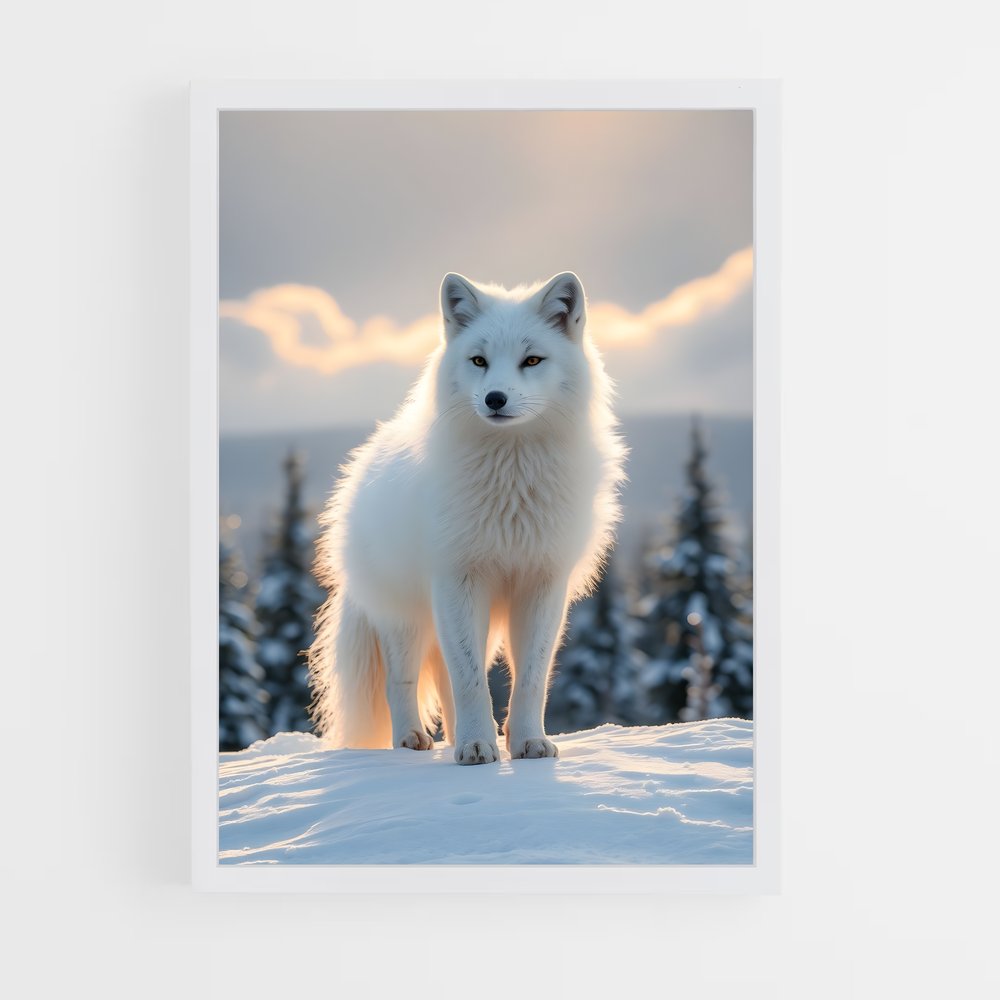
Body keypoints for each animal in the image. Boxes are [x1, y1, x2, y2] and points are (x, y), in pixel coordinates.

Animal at [308, 271, 627, 764]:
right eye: (479, 360)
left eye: (532, 360)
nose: (495, 398)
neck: (512, 479)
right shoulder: (457, 579)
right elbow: (471, 682)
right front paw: (477, 748)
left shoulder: (542, 584)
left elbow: (530, 680)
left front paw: (527, 742)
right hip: (409, 619)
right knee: (403, 681)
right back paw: (414, 740)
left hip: (480, 622)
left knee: (444, 676)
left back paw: (464, 736)